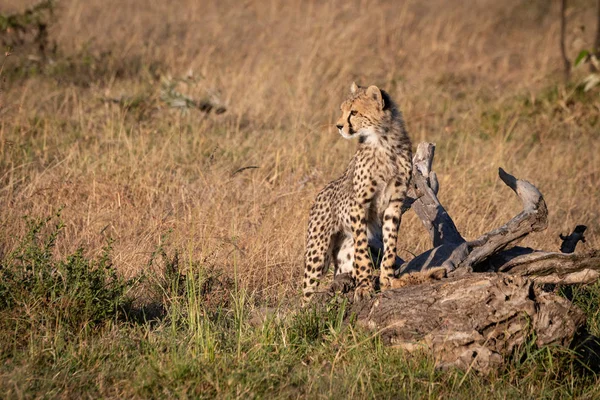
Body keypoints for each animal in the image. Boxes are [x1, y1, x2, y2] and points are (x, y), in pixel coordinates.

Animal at [304, 84, 412, 302]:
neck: (383, 141)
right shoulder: (359, 204)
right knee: (306, 290)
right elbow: (362, 250)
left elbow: (390, 245)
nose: (338, 126)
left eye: (354, 112)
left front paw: (387, 279)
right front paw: (364, 287)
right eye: (342, 110)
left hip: (342, 252)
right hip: (318, 251)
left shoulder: (395, 204)